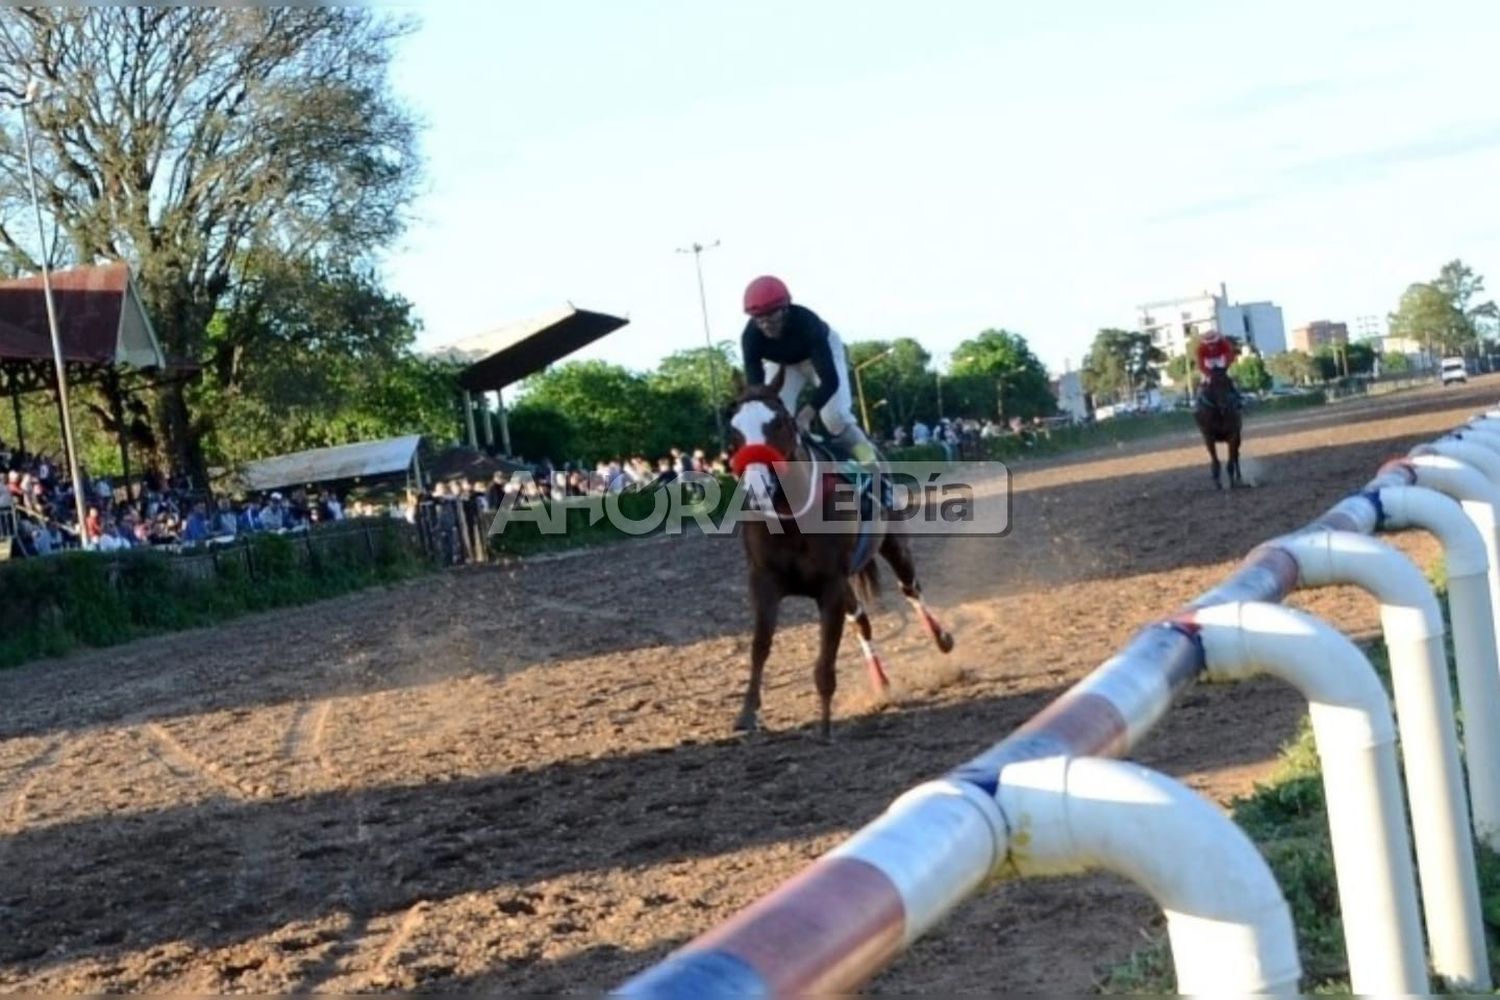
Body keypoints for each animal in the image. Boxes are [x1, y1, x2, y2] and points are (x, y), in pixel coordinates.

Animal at [723, 379, 954, 740]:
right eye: (733, 431)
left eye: (779, 423)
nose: (758, 490)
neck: (792, 518)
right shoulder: (764, 580)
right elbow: (760, 645)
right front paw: (747, 713)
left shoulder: (830, 584)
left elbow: (826, 658)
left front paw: (825, 722)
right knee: (862, 621)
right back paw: (881, 683)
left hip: (892, 543)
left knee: (910, 588)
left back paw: (941, 638)